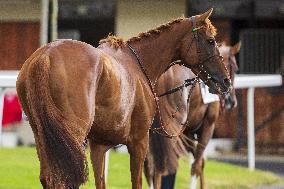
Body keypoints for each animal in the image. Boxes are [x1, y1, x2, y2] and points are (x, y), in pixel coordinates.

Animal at [15, 8, 230, 189]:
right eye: (211, 40)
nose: (225, 80)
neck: (139, 63)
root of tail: (45, 56)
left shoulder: (98, 146)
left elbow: (101, 181)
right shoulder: (139, 142)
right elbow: (138, 181)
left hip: (43, 137)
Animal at [145, 41, 241, 189]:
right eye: (235, 68)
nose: (232, 101)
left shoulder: (188, 132)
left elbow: (198, 162)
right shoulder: (208, 125)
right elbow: (197, 165)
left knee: (150, 168)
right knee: (160, 168)